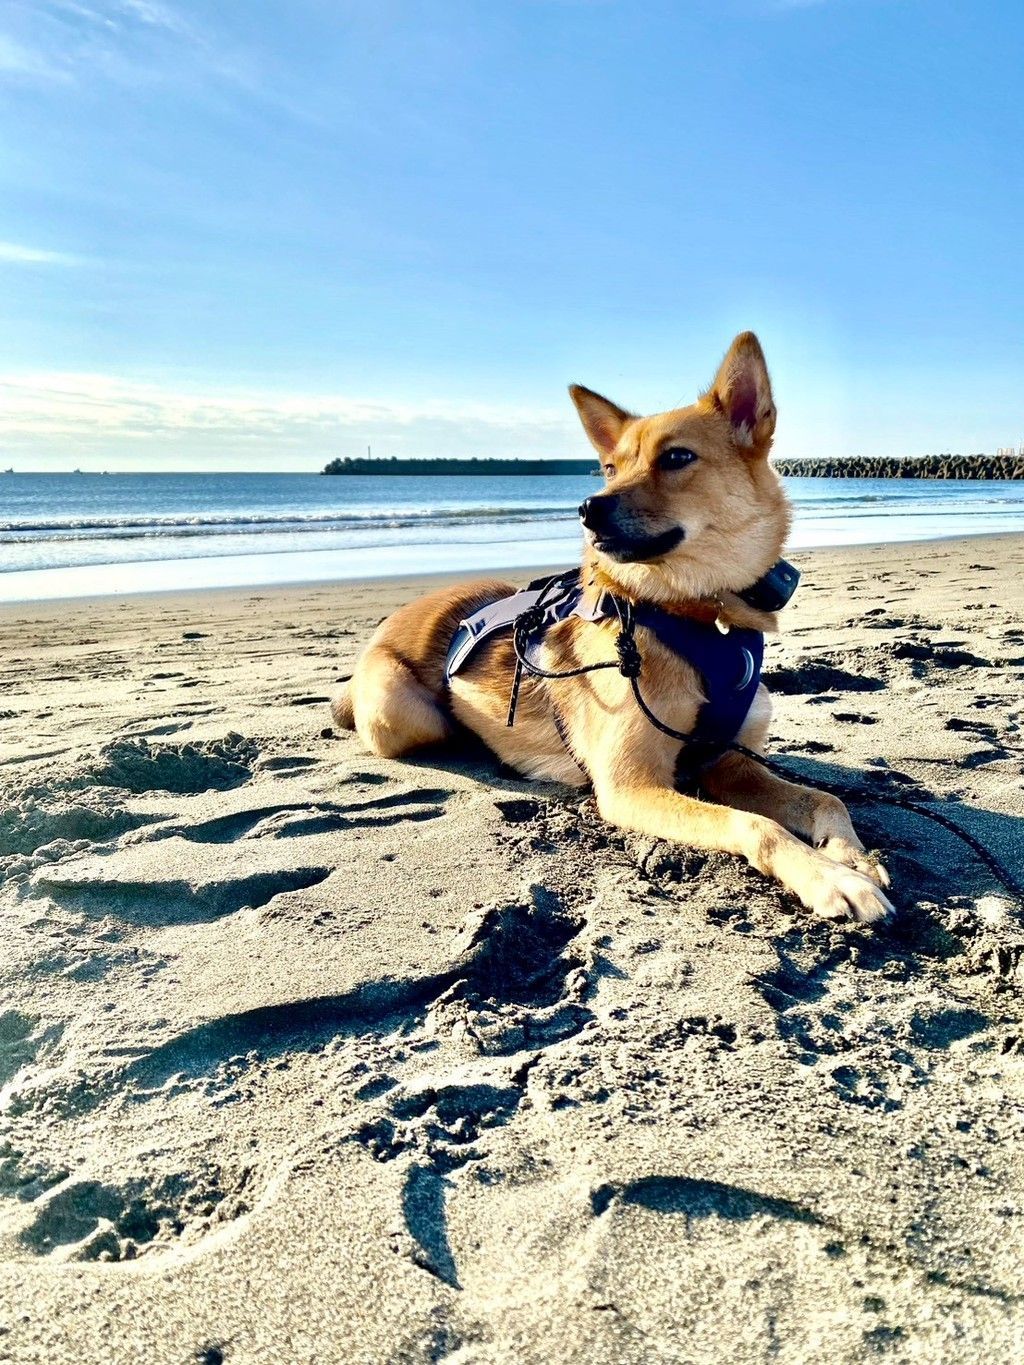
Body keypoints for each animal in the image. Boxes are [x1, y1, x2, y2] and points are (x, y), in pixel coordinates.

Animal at [331, 332, 892, 923]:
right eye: (608, 468)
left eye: (676, 457)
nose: (587, 509)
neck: (702, 616)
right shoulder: (632, 785)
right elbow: (756, 824)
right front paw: (829, 876)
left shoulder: (728, 763)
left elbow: (826, 797)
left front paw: (853, 856)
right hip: (400, 715)